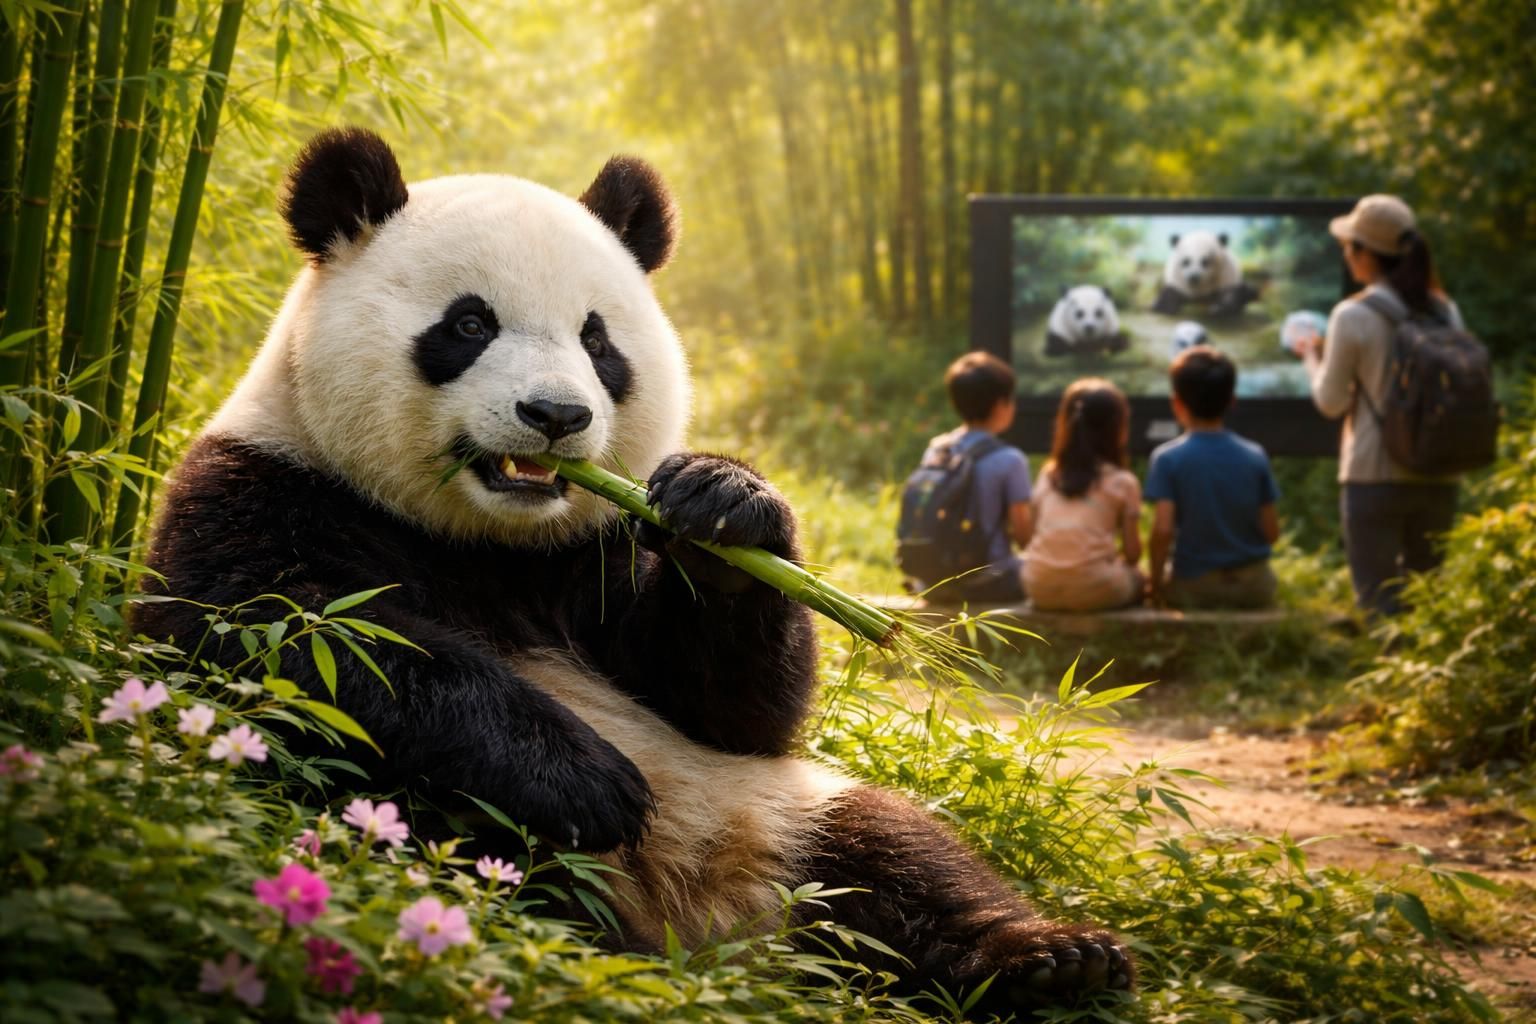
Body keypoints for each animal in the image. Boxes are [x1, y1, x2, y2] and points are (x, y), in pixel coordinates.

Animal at [137, 128, 1133, 1014]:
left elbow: (734, 708)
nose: (555, 416)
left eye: (598, 341)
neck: (482, 539)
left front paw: (724, 507)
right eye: (469, 323)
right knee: (465, 841)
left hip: (778, 811)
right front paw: (585, 779)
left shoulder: (599, 548)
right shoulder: (267, 489)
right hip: (437, 827)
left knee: (896, 857)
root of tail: (709, 931)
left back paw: (1053, 959)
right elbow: (296, 640)